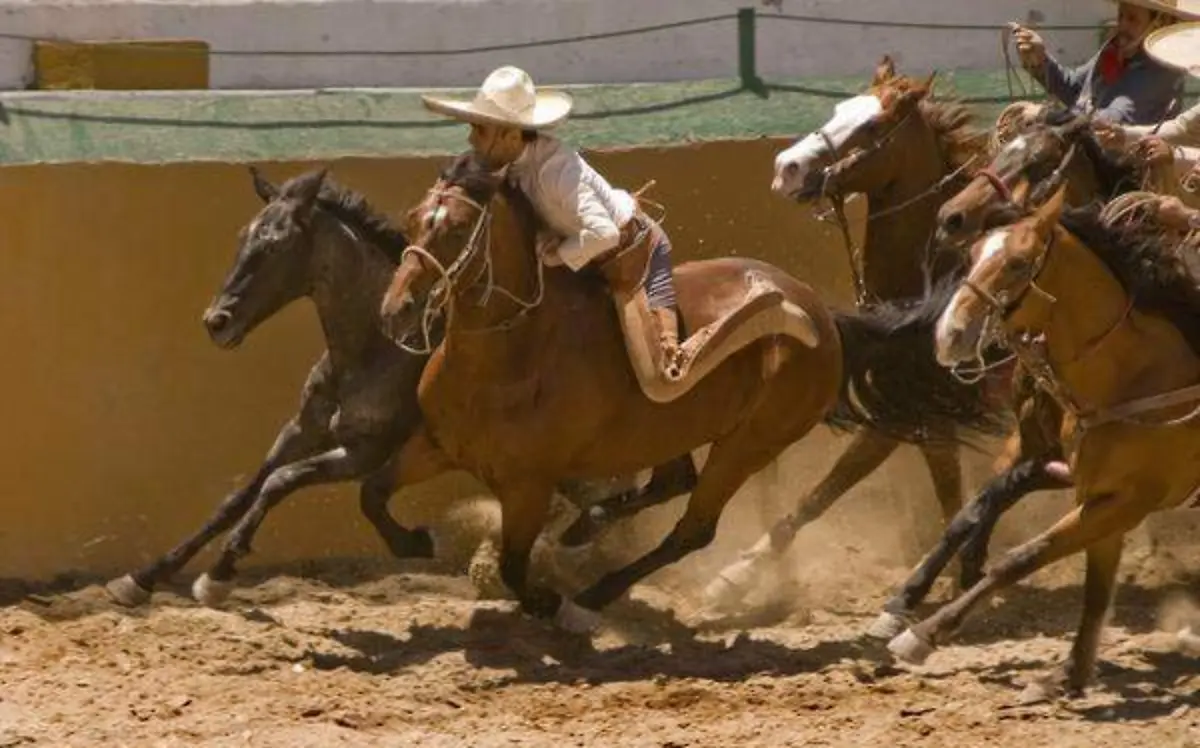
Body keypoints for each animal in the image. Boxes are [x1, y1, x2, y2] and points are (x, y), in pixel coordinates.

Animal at [379, 152, 1008, 633]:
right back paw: (587, 529)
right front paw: (415, 542)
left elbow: (513, 566)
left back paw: (599, 594)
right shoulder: (436, 444)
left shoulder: (527, 483)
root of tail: (822, 320)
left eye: (455, 228)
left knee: (694, 527)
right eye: (414, 219)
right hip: (674, 430)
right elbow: (374, 492)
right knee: (671, 483)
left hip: (749, 443)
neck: (511, 354)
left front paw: (555, 606)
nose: (397, 309)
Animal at [700, 55, 993, 612]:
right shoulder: (912, 405)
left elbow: (848, 481)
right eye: (838, 110)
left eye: (873, 127)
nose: (787, 167)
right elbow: (845, 487)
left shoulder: (910, 404)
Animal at [888, 186, 1200, 701]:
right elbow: (1095, 591)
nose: (949, 335)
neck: (1136, 378)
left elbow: (1020, 558)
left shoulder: (1128, 501)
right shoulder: (1099, 498)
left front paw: (923, 635)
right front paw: (1069, 674)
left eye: (1018, 263)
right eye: (974, 253)